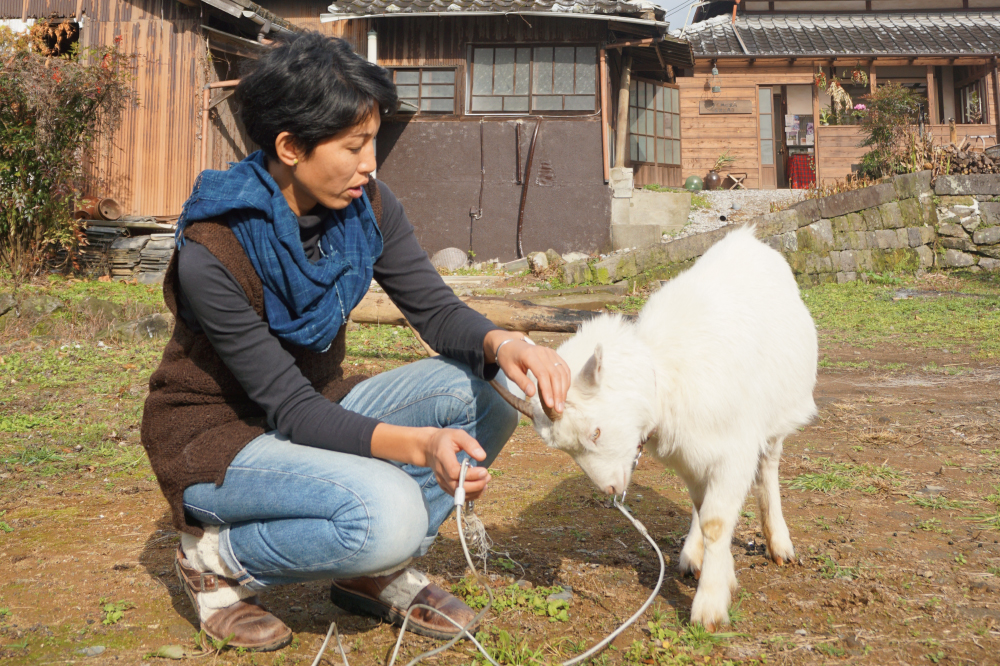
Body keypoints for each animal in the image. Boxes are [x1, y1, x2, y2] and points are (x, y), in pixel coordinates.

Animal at [492, 227, 812, 628]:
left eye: (595, 432)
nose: (611, 488)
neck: (664, 370)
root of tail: (748, 237)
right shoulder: (691, 453)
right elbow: (703, 509)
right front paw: (717, 572)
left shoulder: (734, 450)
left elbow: (716, 522)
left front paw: (709, 606)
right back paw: (693, 556)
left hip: (775, 415)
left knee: (768, 466)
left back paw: (779, 544)